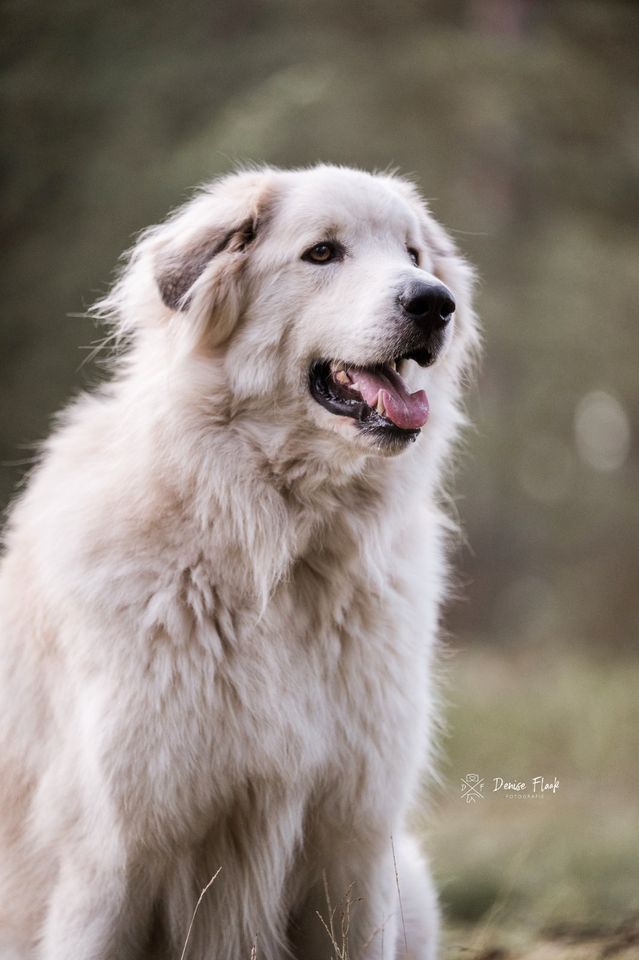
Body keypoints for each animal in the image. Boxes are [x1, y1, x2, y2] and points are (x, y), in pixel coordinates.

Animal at [0, 167, 480, 960]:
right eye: (323, 253)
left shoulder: (351, 849)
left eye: (412, 252)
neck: (275, 548)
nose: (433, 302)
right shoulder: (111, 861)